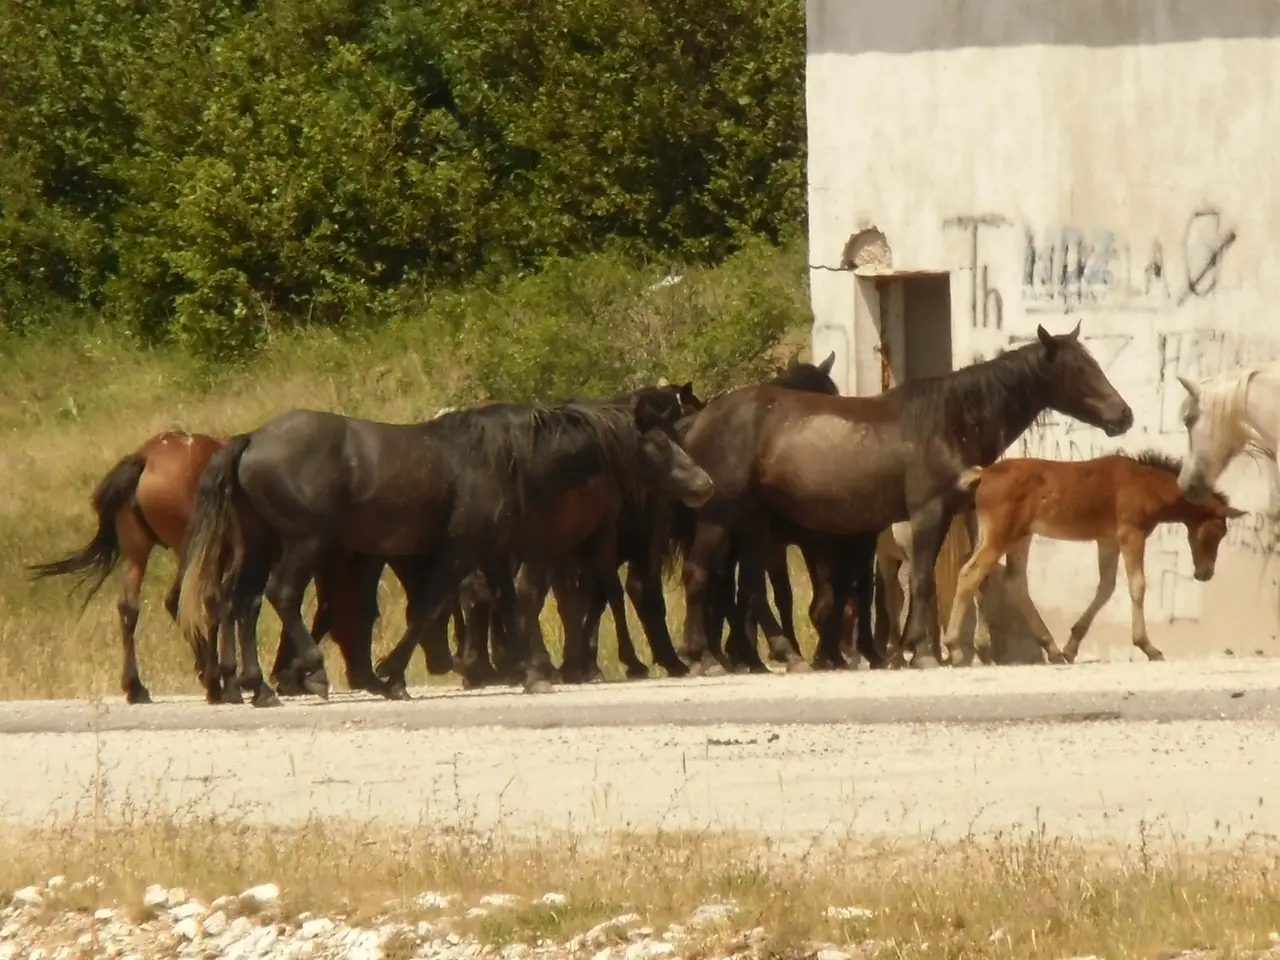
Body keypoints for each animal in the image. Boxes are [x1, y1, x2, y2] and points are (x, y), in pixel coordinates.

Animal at [177, 394, 714, 705]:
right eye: (660, 443)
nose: (704, 484)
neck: (505, 458)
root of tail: (250, 440)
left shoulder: (493, 553)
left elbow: (511, 605)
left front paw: (530, 672)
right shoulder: (462, 548)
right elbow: (431, 608)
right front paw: (392, 675)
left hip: (260, 543)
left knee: (241, 601)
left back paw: (256, 687)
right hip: (304, 542)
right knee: (281, 595)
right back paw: (310, 673)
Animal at [674, 322, 1135, 676]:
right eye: (1078, 370)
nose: (1124, 415)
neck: (950, 421)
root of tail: (698, 419)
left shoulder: (948, 515)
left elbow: (937, 579)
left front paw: (931, 648)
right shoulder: (926, 512)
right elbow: (922, 580)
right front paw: (924, 651)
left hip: (754, 523)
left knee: (751, 588)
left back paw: (786, 655)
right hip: (719, 518)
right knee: (699, 574)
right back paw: (703, 658)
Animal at [946, 451, 1245, 665]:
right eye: (1219, 530)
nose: (1204, 573)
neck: (1148, 485)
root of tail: (984, 474)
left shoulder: (1108, 540)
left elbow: (1106, 588)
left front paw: (1071, 647)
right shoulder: (1131, 535)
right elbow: (1137, 585)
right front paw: (1148, 647)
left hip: (1017, 536)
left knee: (1008, 580)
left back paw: (1045, 649)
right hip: (1002, 535)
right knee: (970, 574)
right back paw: (954, 648)